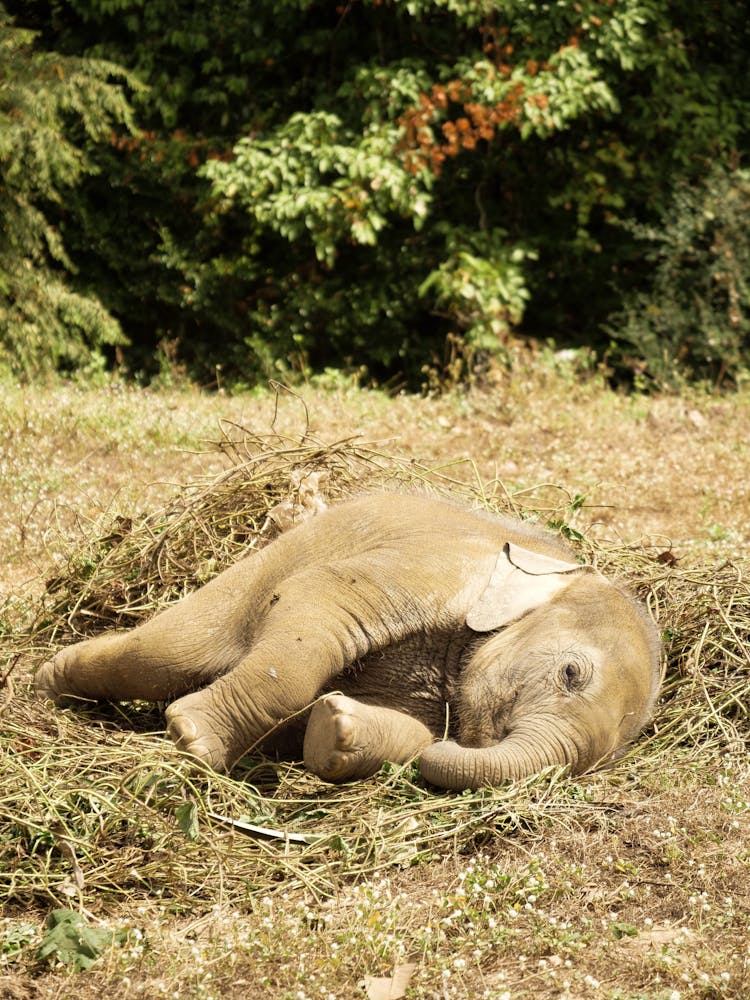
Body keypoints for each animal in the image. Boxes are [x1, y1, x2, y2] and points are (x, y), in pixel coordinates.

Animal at [35, 492, 660, 788]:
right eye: (571, 674)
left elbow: (412, 734)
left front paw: (334, 729)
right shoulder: (433, 565)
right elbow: (316, 597)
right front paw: (193, 738)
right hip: (255, 572)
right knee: (167, 653)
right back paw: (49, 683)